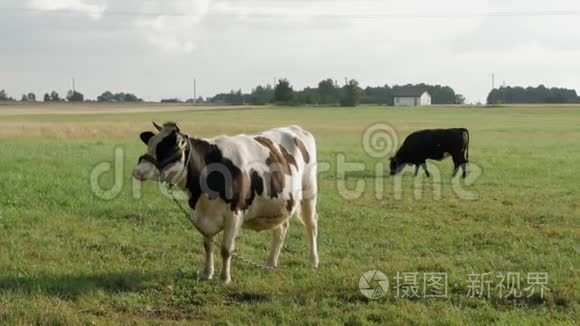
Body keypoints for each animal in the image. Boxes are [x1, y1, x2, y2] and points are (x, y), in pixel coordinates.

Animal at [133, 123, 318, 286]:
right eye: (150, 144)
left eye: (170, 148)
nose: (138, 171)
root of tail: (297, 128)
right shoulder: (201, 216)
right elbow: (208, 246)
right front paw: (207, 273)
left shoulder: (234, 214)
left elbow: (226, 249)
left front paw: (224, 279)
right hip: (277, 205)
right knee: (281, 230)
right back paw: (270, 263)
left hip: (309, 191)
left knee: (311, 225)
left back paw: (313, 261)